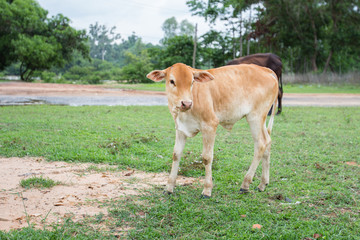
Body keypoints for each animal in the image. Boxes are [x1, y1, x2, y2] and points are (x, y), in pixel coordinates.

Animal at [146, 63, 278, 197]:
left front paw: (207, 190)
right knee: (268, 141)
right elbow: (176, 155)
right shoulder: (180, 128)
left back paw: (245, 184)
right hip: (261, 120)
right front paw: (169, 187)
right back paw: (263, 183)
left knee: (260, 144)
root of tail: (264, 69)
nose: (186, 103)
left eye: (192, 82)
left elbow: (207, 157)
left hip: (255, 117)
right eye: (172, 81)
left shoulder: (210, 125)